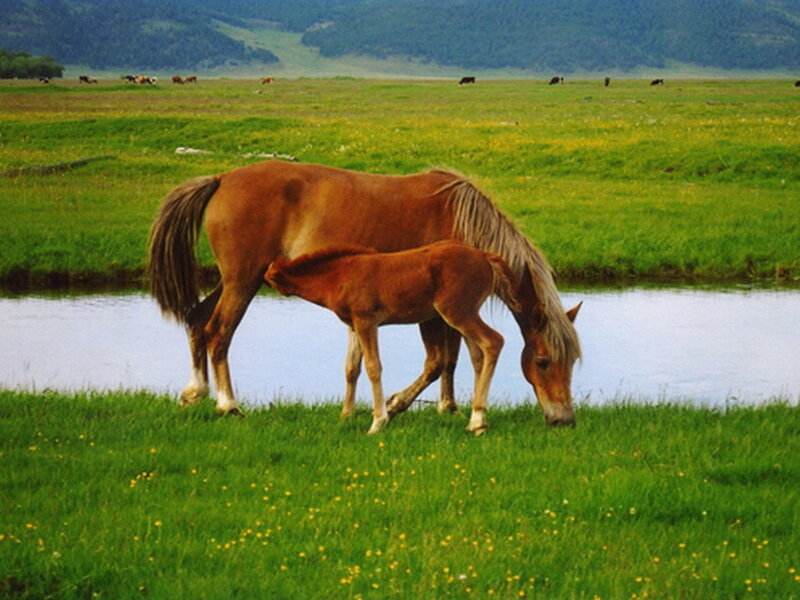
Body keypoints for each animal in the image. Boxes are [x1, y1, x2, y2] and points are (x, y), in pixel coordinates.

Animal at [265, 241, 520, 434]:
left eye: (268, 279)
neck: (341, 276)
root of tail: (485, 257)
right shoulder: (354, 326)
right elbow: (351, 369)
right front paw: (346, 415)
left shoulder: (367, 322)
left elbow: (373, 367)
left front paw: (378, 422)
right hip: (465, 313)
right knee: (478, 356)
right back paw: (476, 420)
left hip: (457, 312)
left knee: (493, 342)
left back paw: (477, 419)